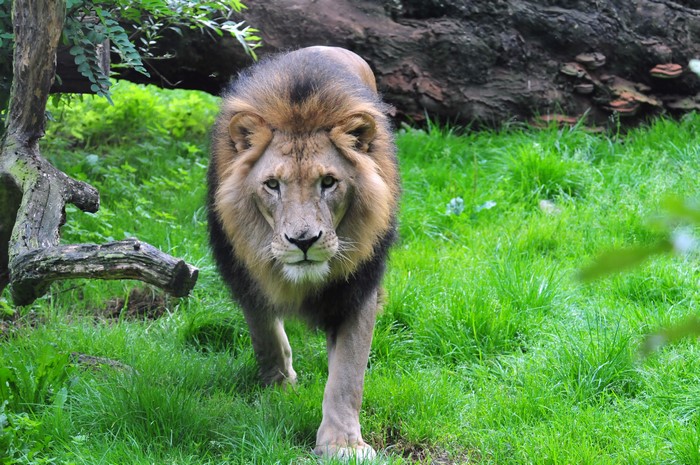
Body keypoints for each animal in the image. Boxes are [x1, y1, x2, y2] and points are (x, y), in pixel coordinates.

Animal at [206, 46, 400, 459]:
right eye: (272, 185)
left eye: (328, 182)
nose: (304, 241)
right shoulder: (244, 272)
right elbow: (264, 333)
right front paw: (279, 389)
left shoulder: (357, 289)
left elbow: (347, 374)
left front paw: (343, 444)